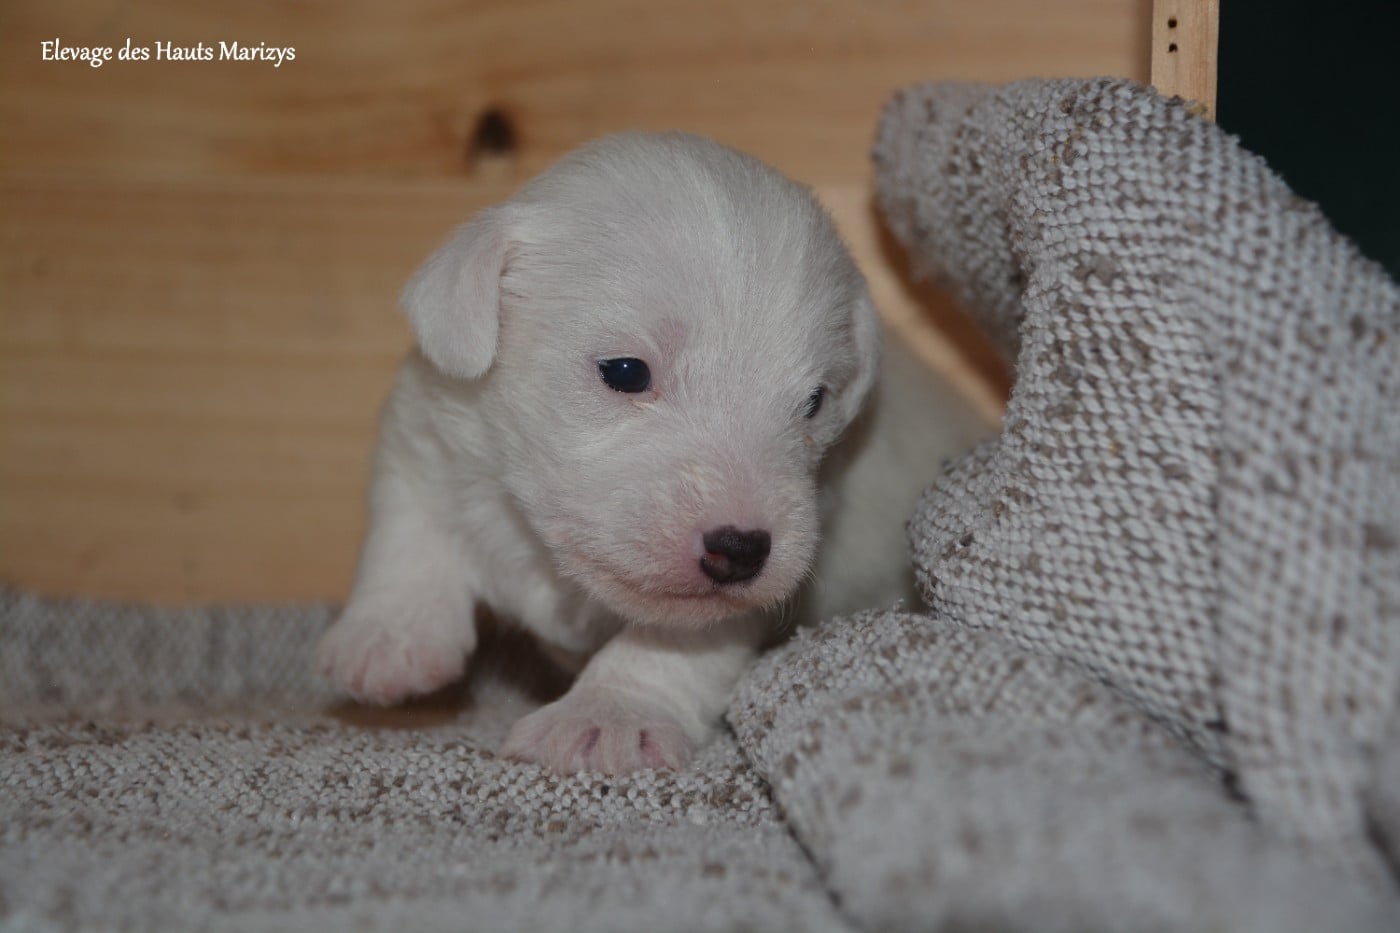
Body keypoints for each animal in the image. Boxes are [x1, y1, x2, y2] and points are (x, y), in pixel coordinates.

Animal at [315, 132, 957, 774]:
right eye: (626, 371)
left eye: (815, 402)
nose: (741, 551)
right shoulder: (426, 428)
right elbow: (411, 527)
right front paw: (389, 637)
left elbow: (671, 640)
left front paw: (606, 716)